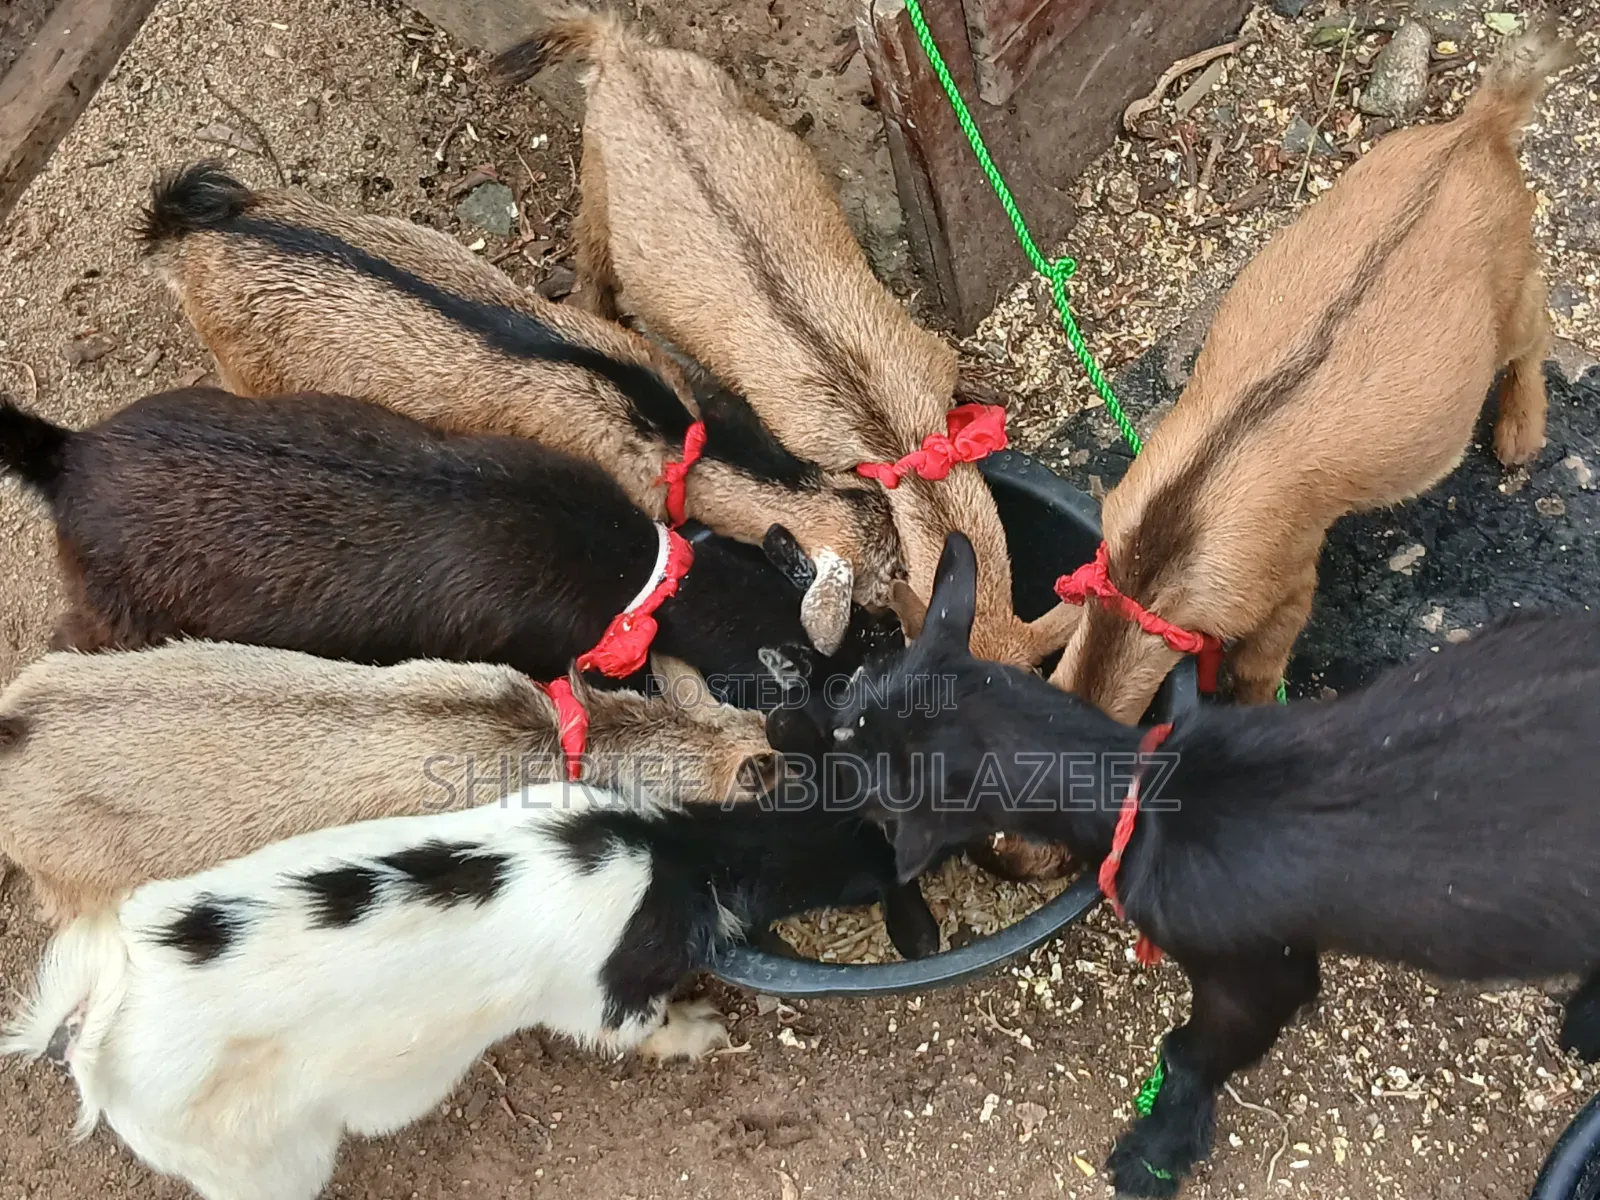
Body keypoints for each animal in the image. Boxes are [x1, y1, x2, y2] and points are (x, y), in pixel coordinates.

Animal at [4, 782, 929, 1200]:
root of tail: (94, 1031)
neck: (679, 856)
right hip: (262, 1161)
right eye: (868, 872)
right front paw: (704, 1031)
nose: (909, 866)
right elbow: (644, 1030)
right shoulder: (604, 997)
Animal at [771, 530, 1600, 1197]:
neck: (1146, 792)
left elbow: (1193, 1049)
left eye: (867, 781)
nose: (802, 772)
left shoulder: (1255, 970)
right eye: (853, 697)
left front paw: (1154, 1153)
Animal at [1045, 24, 1575, 723]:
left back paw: (1519, 430)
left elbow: (1261, 665)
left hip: (1509, 287)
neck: (1154, 564)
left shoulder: (1286, 578)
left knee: (1534, 329)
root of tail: (1478, 128)